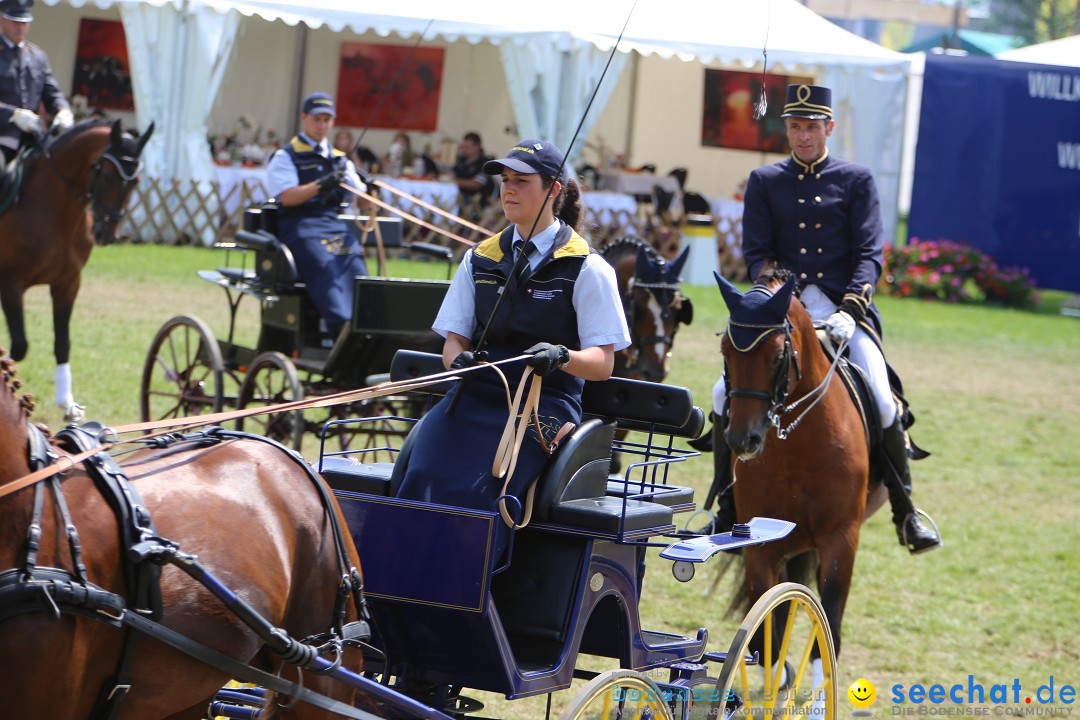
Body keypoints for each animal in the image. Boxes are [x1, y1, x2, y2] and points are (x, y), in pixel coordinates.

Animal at [0, 118, 153, 423]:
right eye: (105, 175)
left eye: (135, 181)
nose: (105, 233)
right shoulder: (10, 283)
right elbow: (20, 346)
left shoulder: (67, 283)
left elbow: (63, 343)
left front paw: (68, 405)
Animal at [712, 273, 881, 673]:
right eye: (726, 352)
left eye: (777, 357)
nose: (742, 440)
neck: (797, 444)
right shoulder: (760, 547)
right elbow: (768, 635)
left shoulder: (841, 539)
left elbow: (828, 634)